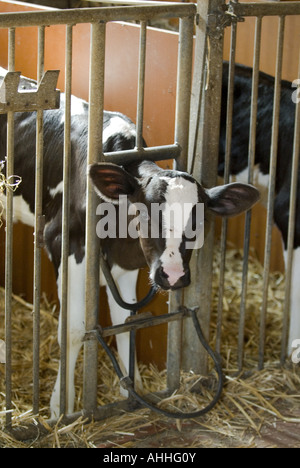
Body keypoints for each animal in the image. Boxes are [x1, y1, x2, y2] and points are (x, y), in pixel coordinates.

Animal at [0, 67, 258, 418]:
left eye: (199, 221)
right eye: (143, 213)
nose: (173, 275)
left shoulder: (127, 263)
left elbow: (125, 323)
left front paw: (131, 394)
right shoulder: (64, 244)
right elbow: (74, 329)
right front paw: (60, 410)